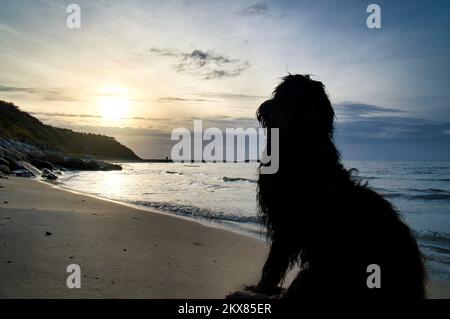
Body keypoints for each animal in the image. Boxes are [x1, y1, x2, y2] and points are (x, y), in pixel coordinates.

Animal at [232, 74, 426, 300]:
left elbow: (273, 264)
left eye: (280, 93)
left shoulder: (286, 224)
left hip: (321, 274)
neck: (304, 143)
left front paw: (260, 289)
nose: (262, 108)